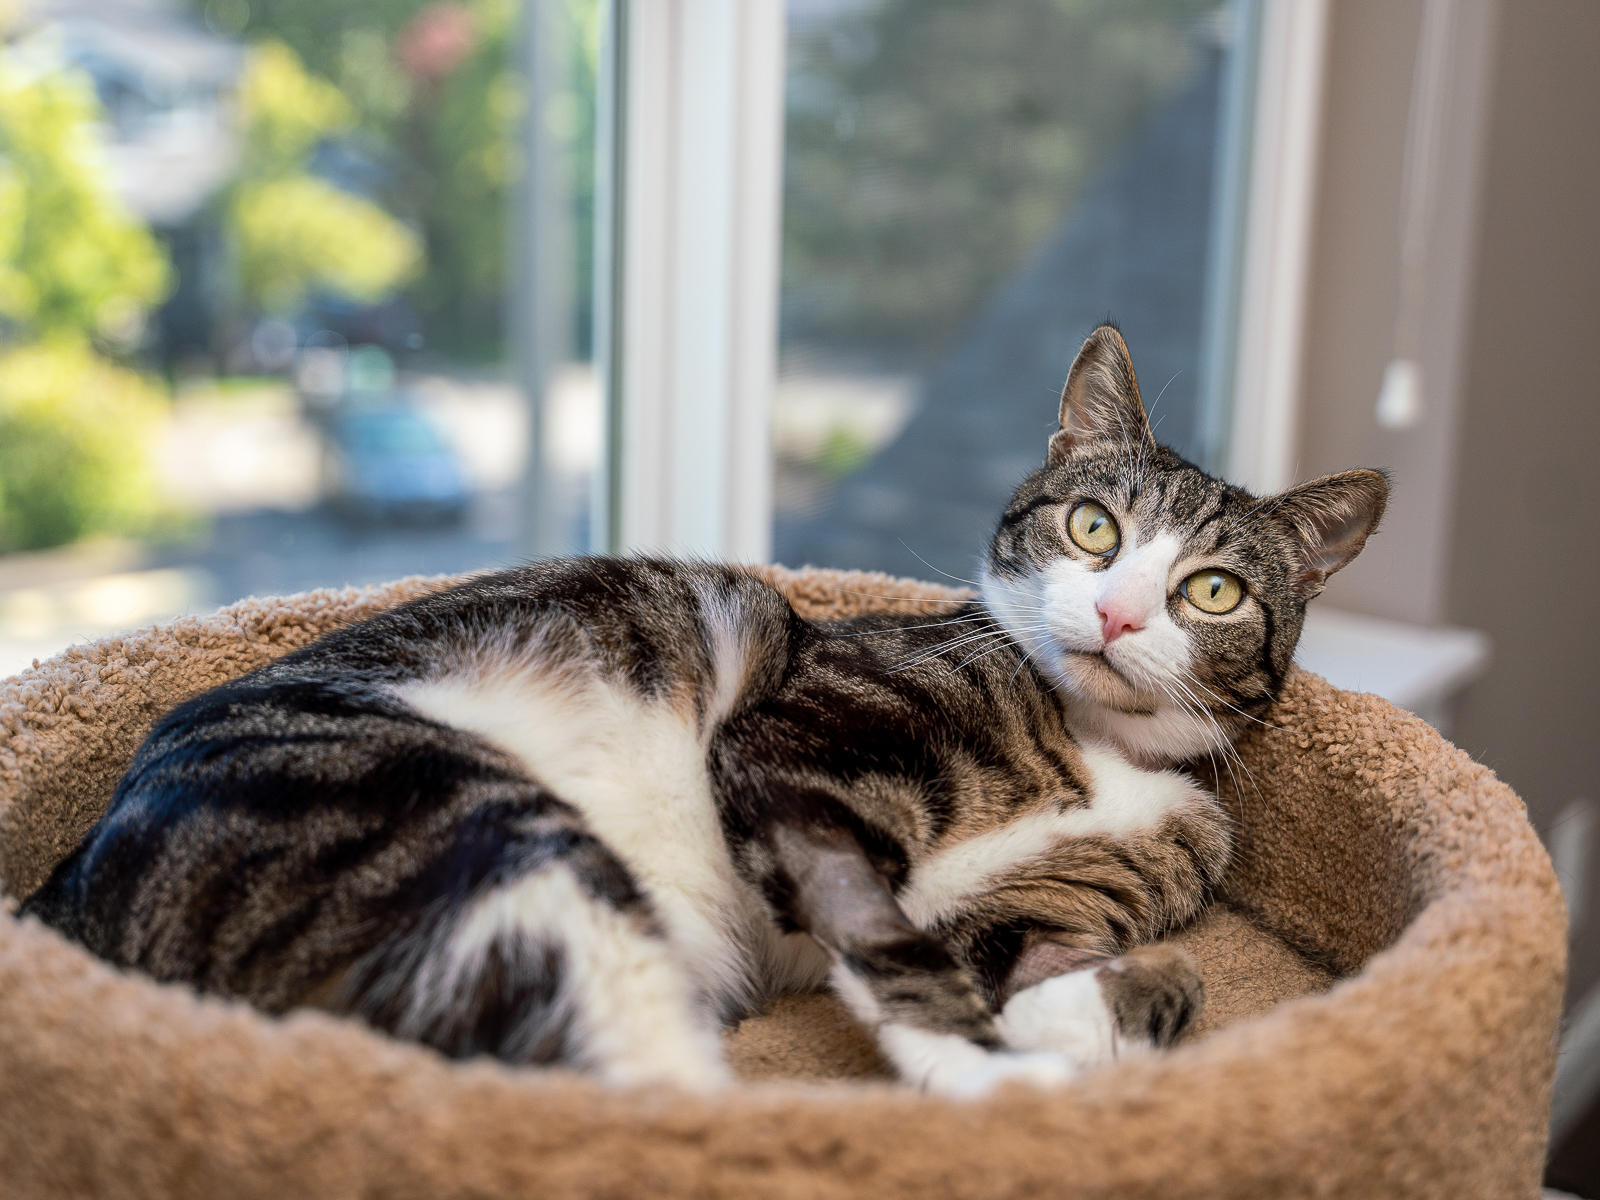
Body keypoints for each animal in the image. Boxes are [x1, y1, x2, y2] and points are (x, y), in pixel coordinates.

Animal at [18, 324, 1388, 1094]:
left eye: (1211, 589)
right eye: (1092, 528)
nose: (1115, 617)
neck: (1090, 747)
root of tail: (66, 889)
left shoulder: (1090, 882)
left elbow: (1009, 957)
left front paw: (1113, 1016)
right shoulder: (797, 753)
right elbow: (887, 944)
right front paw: (1001, 1070)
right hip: (465, 824)